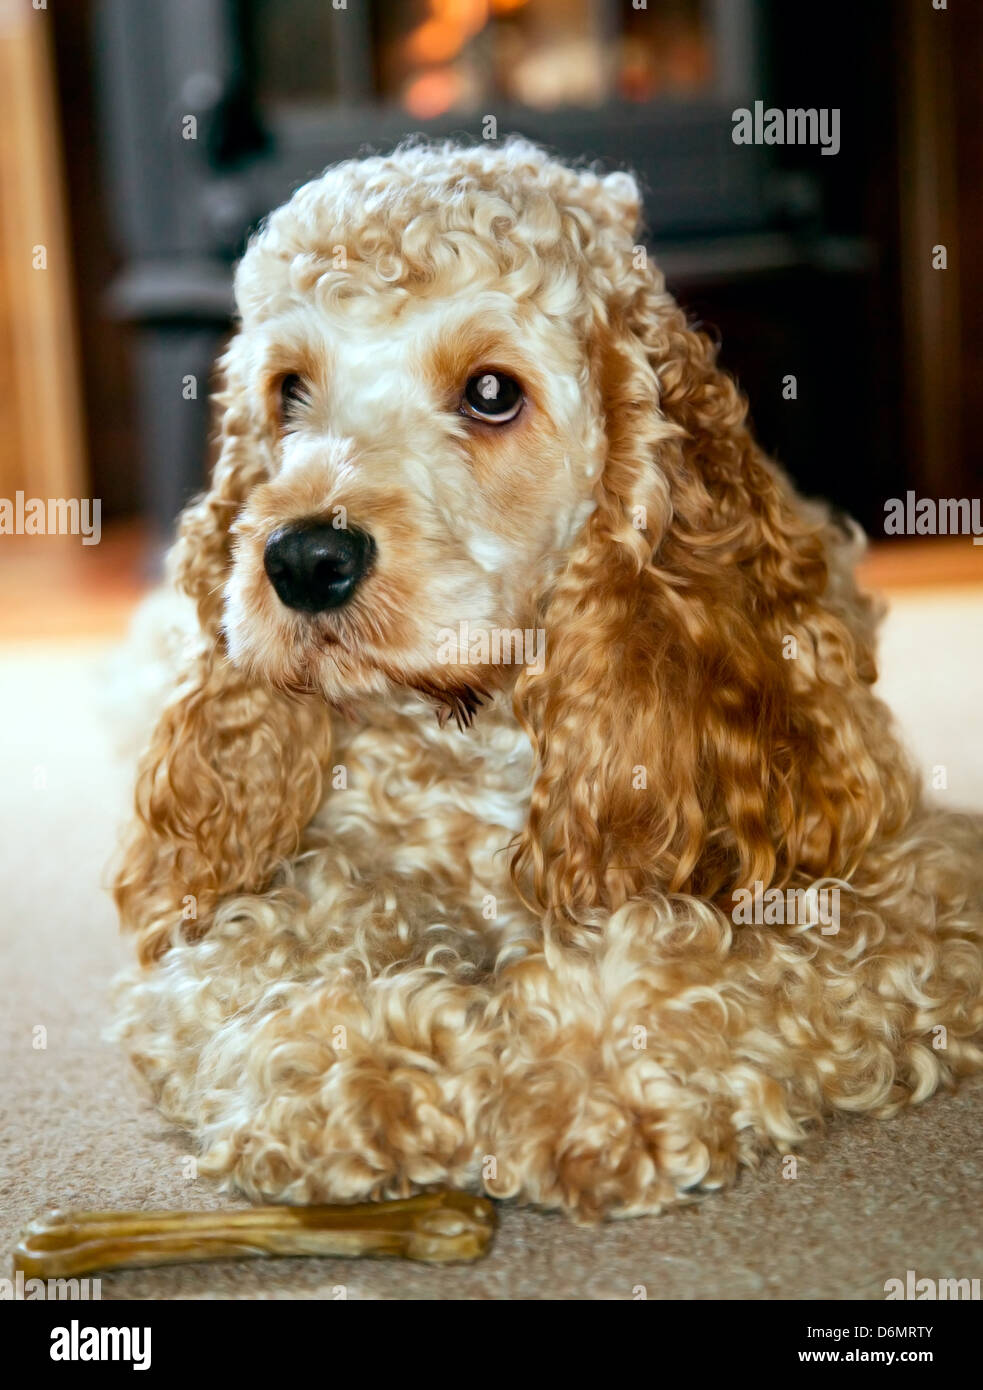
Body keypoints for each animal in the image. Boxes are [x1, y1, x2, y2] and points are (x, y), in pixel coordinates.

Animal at [115, 141, 983, 1223]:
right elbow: (263, 959)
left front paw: (568, 1086)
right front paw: (360, 1077)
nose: (304, 558)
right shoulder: (266, 902)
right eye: (287, 389)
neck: (482, 731)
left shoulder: (903, 887)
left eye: (492, 392)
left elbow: (710, 968)